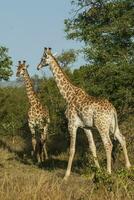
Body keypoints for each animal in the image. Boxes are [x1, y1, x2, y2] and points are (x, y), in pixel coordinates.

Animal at [37, 48, 131, 180]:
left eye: (42, 58)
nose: (38, 67)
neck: (68, 96)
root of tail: (113, 110)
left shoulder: (72, 124)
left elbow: (72, 149)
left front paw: (66, 175)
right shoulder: (86, 127)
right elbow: (92, 147)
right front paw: (97, 171)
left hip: (102, 126)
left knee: (108, 144)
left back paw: (109, 172)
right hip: (112, 125)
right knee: (122, 139)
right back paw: (128, 167)